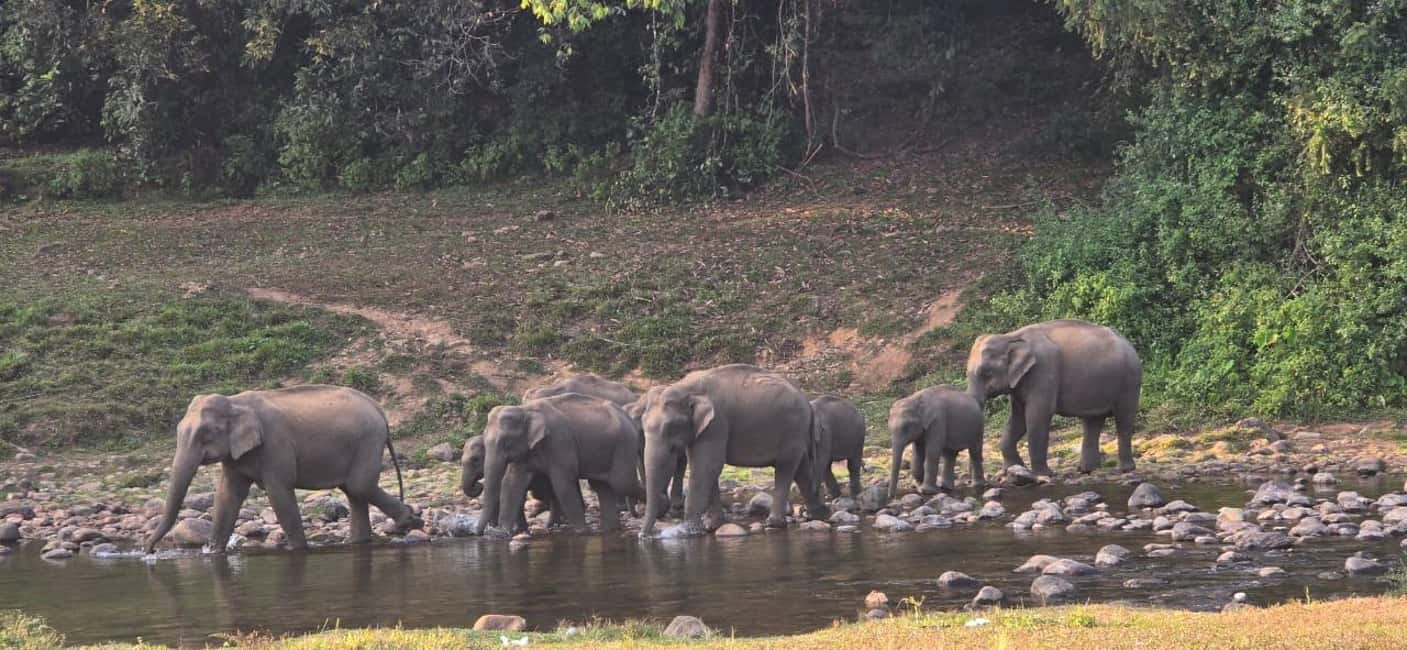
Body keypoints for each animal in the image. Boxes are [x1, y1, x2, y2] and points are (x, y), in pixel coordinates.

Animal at [144, 385, 420, 553]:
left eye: (205, 434)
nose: (149, 551)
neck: (235, 402)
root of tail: (378, 408)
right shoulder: (236, 456)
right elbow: (227, 496)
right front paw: (212, 553)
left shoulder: (275, 445)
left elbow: (279, 493)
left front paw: (297, 550)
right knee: (354, 491)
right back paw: (366, 539)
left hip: (368, 441)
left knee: (359, 486)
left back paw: (410, 521)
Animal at [473, 393, 645, 535]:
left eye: (506, 441)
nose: (477, 533)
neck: (525, 410)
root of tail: (627, 417)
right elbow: (512, 483)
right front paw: (501, 534)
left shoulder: (560, 441)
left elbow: (562, 484)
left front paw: (581, 532)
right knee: (602, 486)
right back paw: (609, 530)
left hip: (624, 443)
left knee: (622, 482)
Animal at [639, 364, 829, 536]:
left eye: (672, 426)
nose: (644, 536)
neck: (684, 387)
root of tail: (808, 402)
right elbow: (708, 468)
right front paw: (713, 525)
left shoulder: (717, 423)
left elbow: (707, 466)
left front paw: (688, 531)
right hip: (797, 433)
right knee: (801, 468)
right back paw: (819, 515)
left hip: (792, 429)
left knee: (785, 467)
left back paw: (774, 523)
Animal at [966, 319, 1142, 475]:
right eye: (966, 372)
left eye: (986, 372)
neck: (1010, 336)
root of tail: (1129, 345)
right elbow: (1018, 419)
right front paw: (1013, 469)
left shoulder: (1044, 371)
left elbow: (1037, 415)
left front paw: (1044, 474)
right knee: (1093, 421)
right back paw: (1086, 470)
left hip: (1130, 381)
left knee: (1124, 419)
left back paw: (1124, 469)